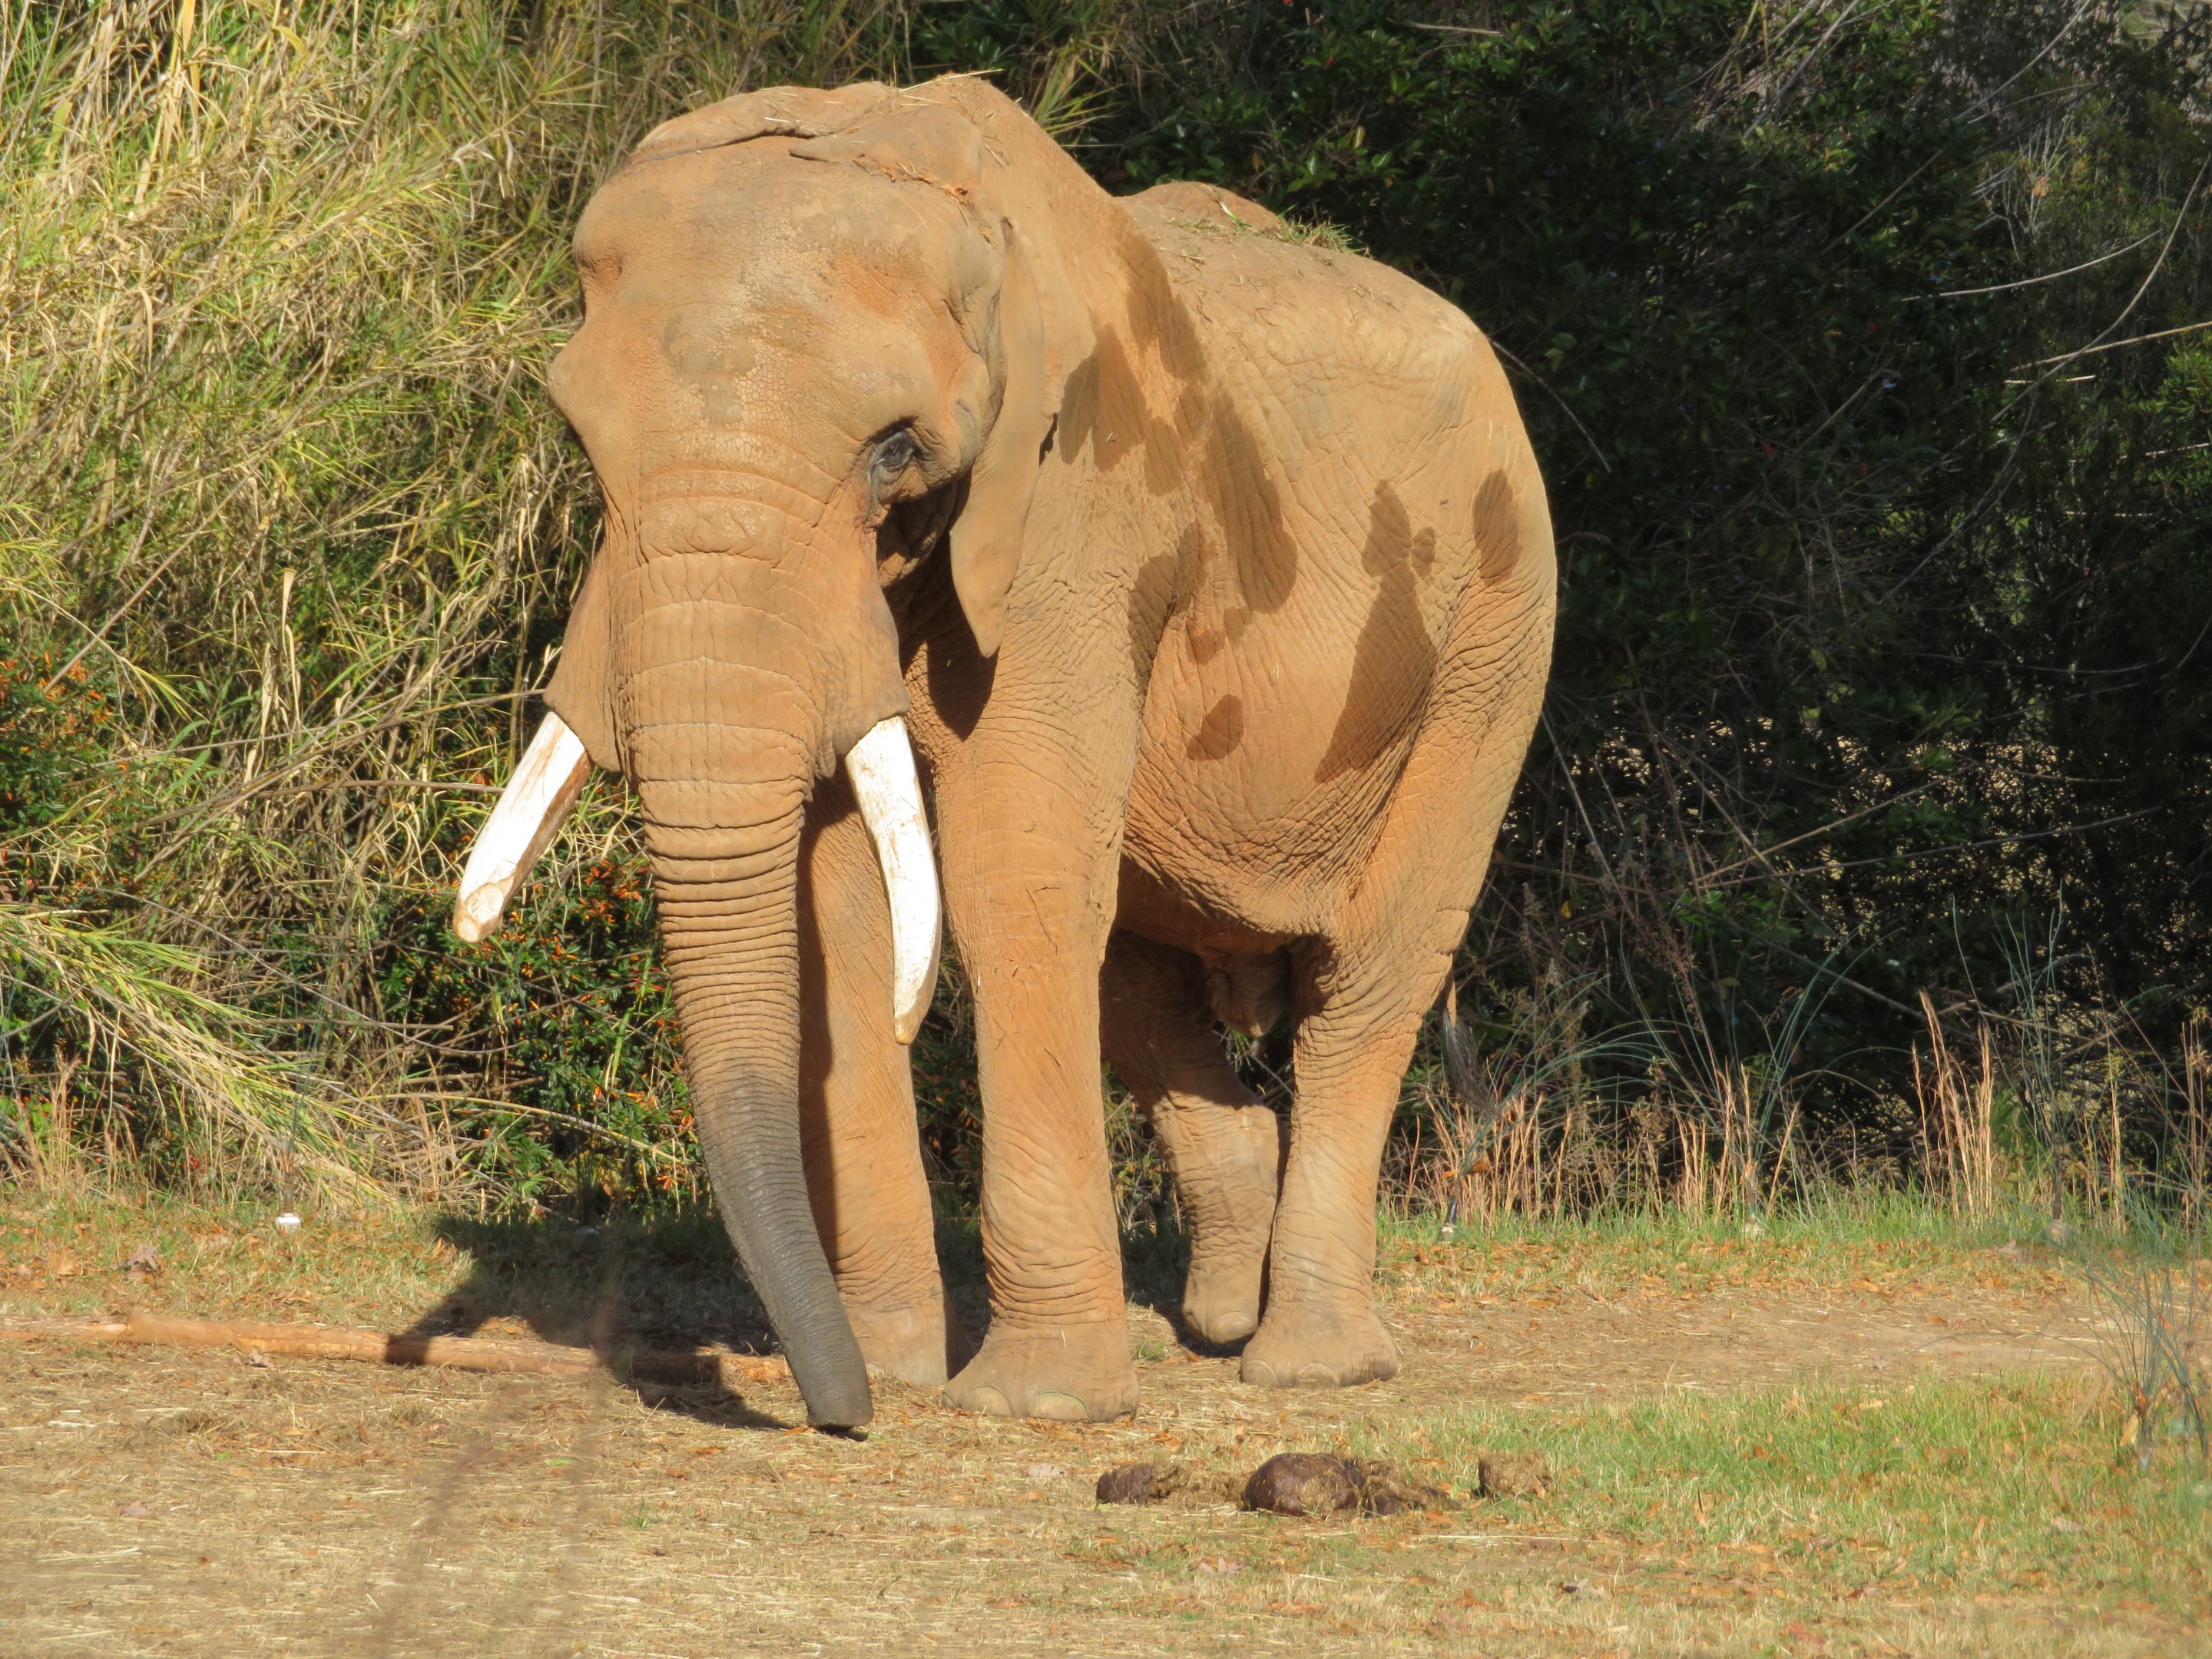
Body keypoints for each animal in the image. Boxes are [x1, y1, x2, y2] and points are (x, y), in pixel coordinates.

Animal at [451, 75, 1556, 1429]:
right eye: (580, 444)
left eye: (892, 448)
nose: (835, 1410)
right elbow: (843, 908)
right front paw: (898, 1366)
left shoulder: (1075, 511)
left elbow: (1010, 875)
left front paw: (1037, 1404)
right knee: (1140, 971)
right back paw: (1217, 1316)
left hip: (1498, 635)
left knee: (1374, 971)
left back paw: (1310, 1362)